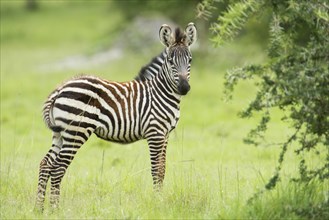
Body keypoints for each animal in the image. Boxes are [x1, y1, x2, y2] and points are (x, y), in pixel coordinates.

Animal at [35, 22, 196, 211]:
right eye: (171, 61)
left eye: (190, 60)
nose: (184, 88)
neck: (160, 92)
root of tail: (60, 89)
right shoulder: (155, 133)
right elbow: (156, 169)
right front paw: (158, 202)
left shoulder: (165, 134)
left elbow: (162, 169)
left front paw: (160, 199)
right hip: (76, 132)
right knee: (58, 168)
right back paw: (55, 209)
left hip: (59, 134)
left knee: (46, 164)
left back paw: (39, 208)